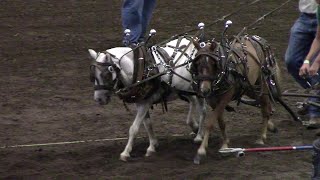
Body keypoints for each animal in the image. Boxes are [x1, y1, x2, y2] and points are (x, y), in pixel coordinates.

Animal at [191, 35, 282, 165]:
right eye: (197, 63)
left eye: (213, 63)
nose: (204, 90)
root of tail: (257, 39)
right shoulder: (212, 101)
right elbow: (221, 122)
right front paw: (225, 143)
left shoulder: (226, 97)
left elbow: (210, 123)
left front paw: (201, 151)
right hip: (250, 88)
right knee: (267, 106)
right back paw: (270, 127)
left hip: (262, 86)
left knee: (265, 109)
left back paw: (261, 138)